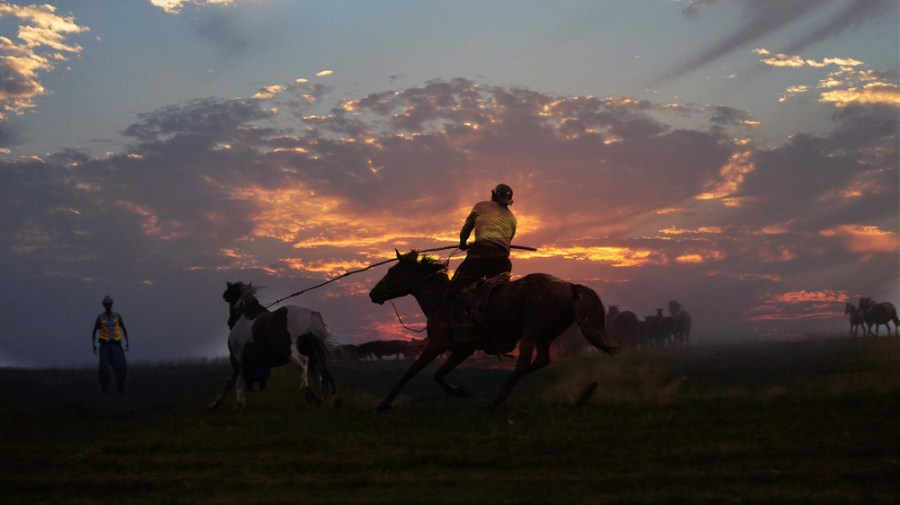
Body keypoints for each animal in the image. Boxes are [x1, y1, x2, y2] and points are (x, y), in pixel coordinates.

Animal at [207, 280, 338, 410]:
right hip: (314, 352)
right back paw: (318, 400)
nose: (229, 323)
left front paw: (238, 404)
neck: (246, 315)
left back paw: (307, 391)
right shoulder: (247, 362)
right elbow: (231, 382)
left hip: (290, 352)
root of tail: (310, 315)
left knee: (303, 362)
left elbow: (236, 380)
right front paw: (215, 404)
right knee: (317, 373)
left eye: (227, 298)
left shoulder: (237, 358)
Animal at [364, 249, 620, 410]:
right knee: (540, 361)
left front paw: (385, 402)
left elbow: (412, 371)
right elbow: (439, 373)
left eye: (392, 272)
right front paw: (457, 390)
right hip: (545, 335)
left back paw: (496, 400)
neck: (441, 301)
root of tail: (570, 286)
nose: (373, 294)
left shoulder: (437, 344)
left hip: (532, 330)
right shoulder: (463, 349)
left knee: (524, 363)